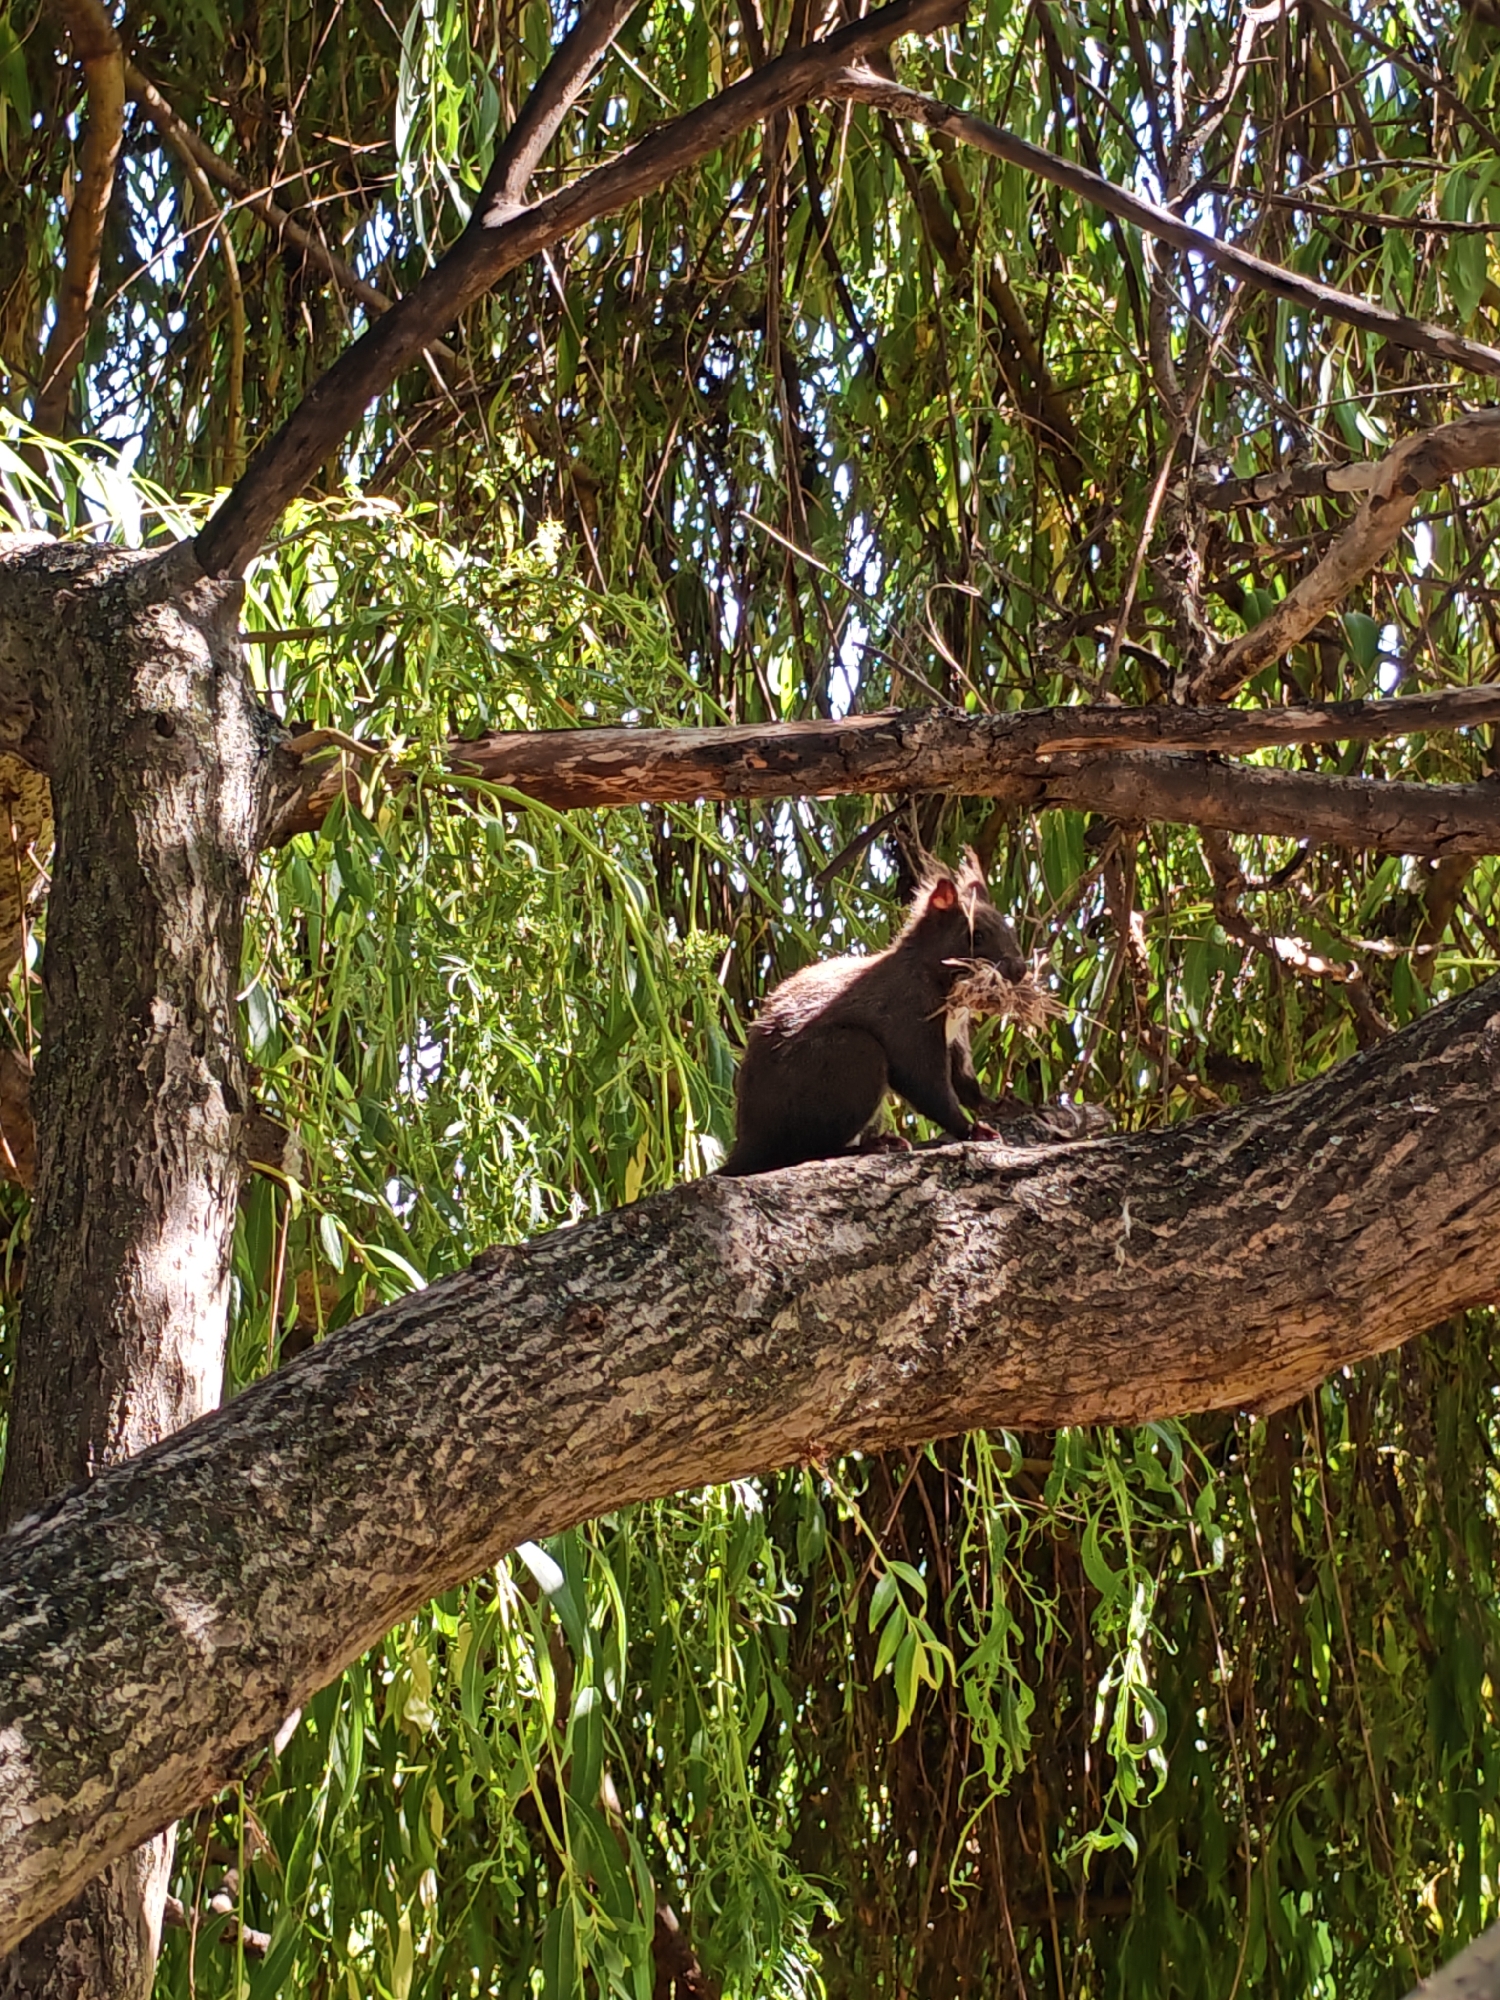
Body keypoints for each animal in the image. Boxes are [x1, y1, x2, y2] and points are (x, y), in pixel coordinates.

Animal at [720, 849, 1029, 1176]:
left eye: (1010, 930)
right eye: (976, 935)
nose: (1019, 969)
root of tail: (748, 1146)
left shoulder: (956, 1036)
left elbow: (965, 1080)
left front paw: (998, 1104)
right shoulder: (908, 1018)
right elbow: (928, 1085)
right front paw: (972, 1131)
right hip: (854, 1059)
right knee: (807, 1150)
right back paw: (874, 1144)